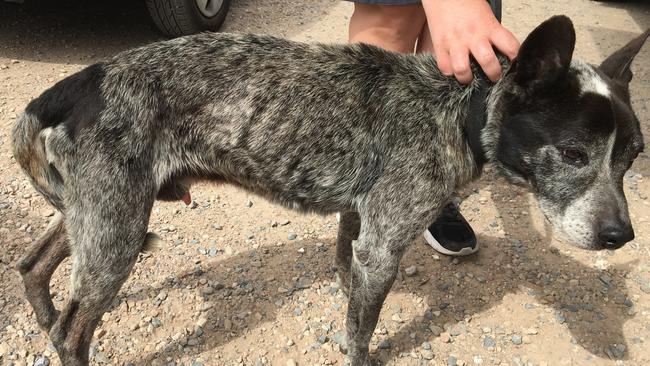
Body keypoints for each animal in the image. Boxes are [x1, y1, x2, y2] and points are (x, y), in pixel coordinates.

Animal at [10, 15, 648, 366]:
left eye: (632, 158)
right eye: (574, 153)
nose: (621, 235)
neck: (456, 110)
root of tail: (82, 80)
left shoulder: (360, 224)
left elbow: (347, 281)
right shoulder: (383, 246)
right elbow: (362, 332)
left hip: (97, 214)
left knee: (32, 265)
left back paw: (42, 313)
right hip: (116, 230)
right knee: (72, 331)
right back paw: (60, 331)